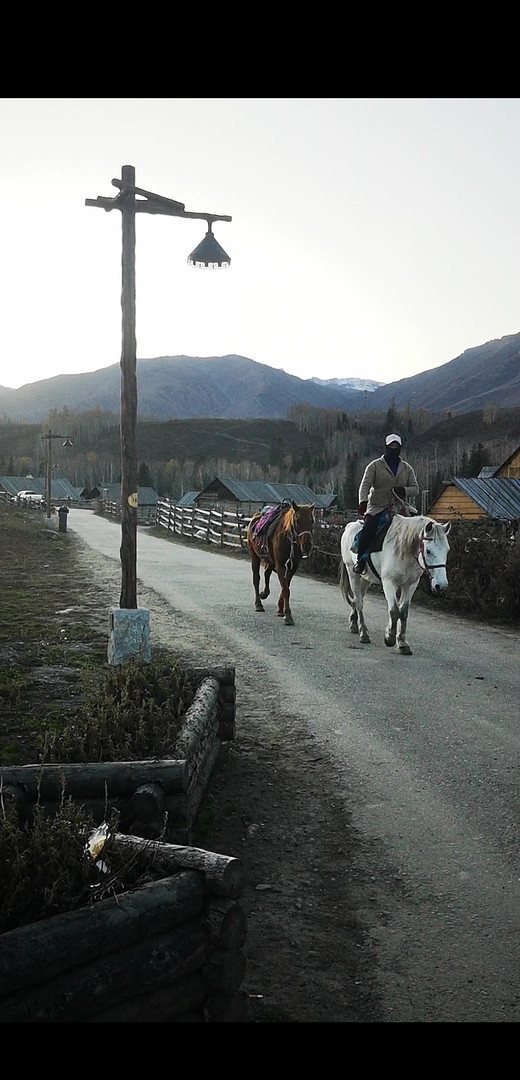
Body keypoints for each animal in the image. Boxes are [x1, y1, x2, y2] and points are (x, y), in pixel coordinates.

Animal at [246, 498, 313, 626]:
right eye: (297, 520)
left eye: (312, 521)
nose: (307, 546)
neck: (287, 539)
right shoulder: (281, 565)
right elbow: (285, 589)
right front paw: (288, 615)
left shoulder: (292, 567)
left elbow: (286, 586)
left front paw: (281, 609)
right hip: (254, 556)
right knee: (256, 578)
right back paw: (258, 604)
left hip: (271, 561)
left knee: (267, 573)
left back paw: (264, 593)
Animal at [339, 511, 447, 652]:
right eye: (428, 551)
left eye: (447, 550)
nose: (442, 585)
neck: (403, 549)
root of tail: (350, 525)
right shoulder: (389, 583)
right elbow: (394, 611)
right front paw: (389, 637)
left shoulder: (410, 585)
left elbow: (404, 612)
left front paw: (402, 642)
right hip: (353, 574)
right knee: (358, 601)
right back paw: (363, 633)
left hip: (366, 578)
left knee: (359, 598)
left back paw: (354, 624)